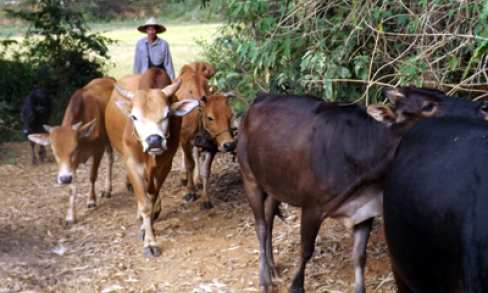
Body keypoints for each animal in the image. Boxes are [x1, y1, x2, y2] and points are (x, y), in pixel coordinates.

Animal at [28, 76, 115, 225]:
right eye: (53, 149)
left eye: (76, 147)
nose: (64, 179)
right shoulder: (70, 165)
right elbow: (72, 186)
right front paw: (70, 216)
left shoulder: (98, 149)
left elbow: (92, 175)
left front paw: (91, 200)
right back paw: (107, 189)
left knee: (110, 158)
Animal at [106, 70, 199, 256]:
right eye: (134, 116)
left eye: (167, 114)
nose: (154, 140)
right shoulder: (132, 166)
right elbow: (144, 205)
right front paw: (149, 241)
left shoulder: (164, 166)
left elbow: (152, 198)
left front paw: (149, 231)